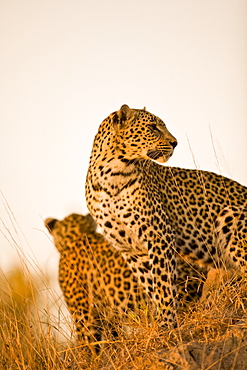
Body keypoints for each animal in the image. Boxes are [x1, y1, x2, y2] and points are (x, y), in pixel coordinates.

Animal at [85, 103, 247, 326]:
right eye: (153, 127)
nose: (175, 143)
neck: (112, 175)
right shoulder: (130, 249)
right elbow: (152, 286)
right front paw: (164, 321)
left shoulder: (159, 235)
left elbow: (164, 283)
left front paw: (167, 322)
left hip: (229, 216)